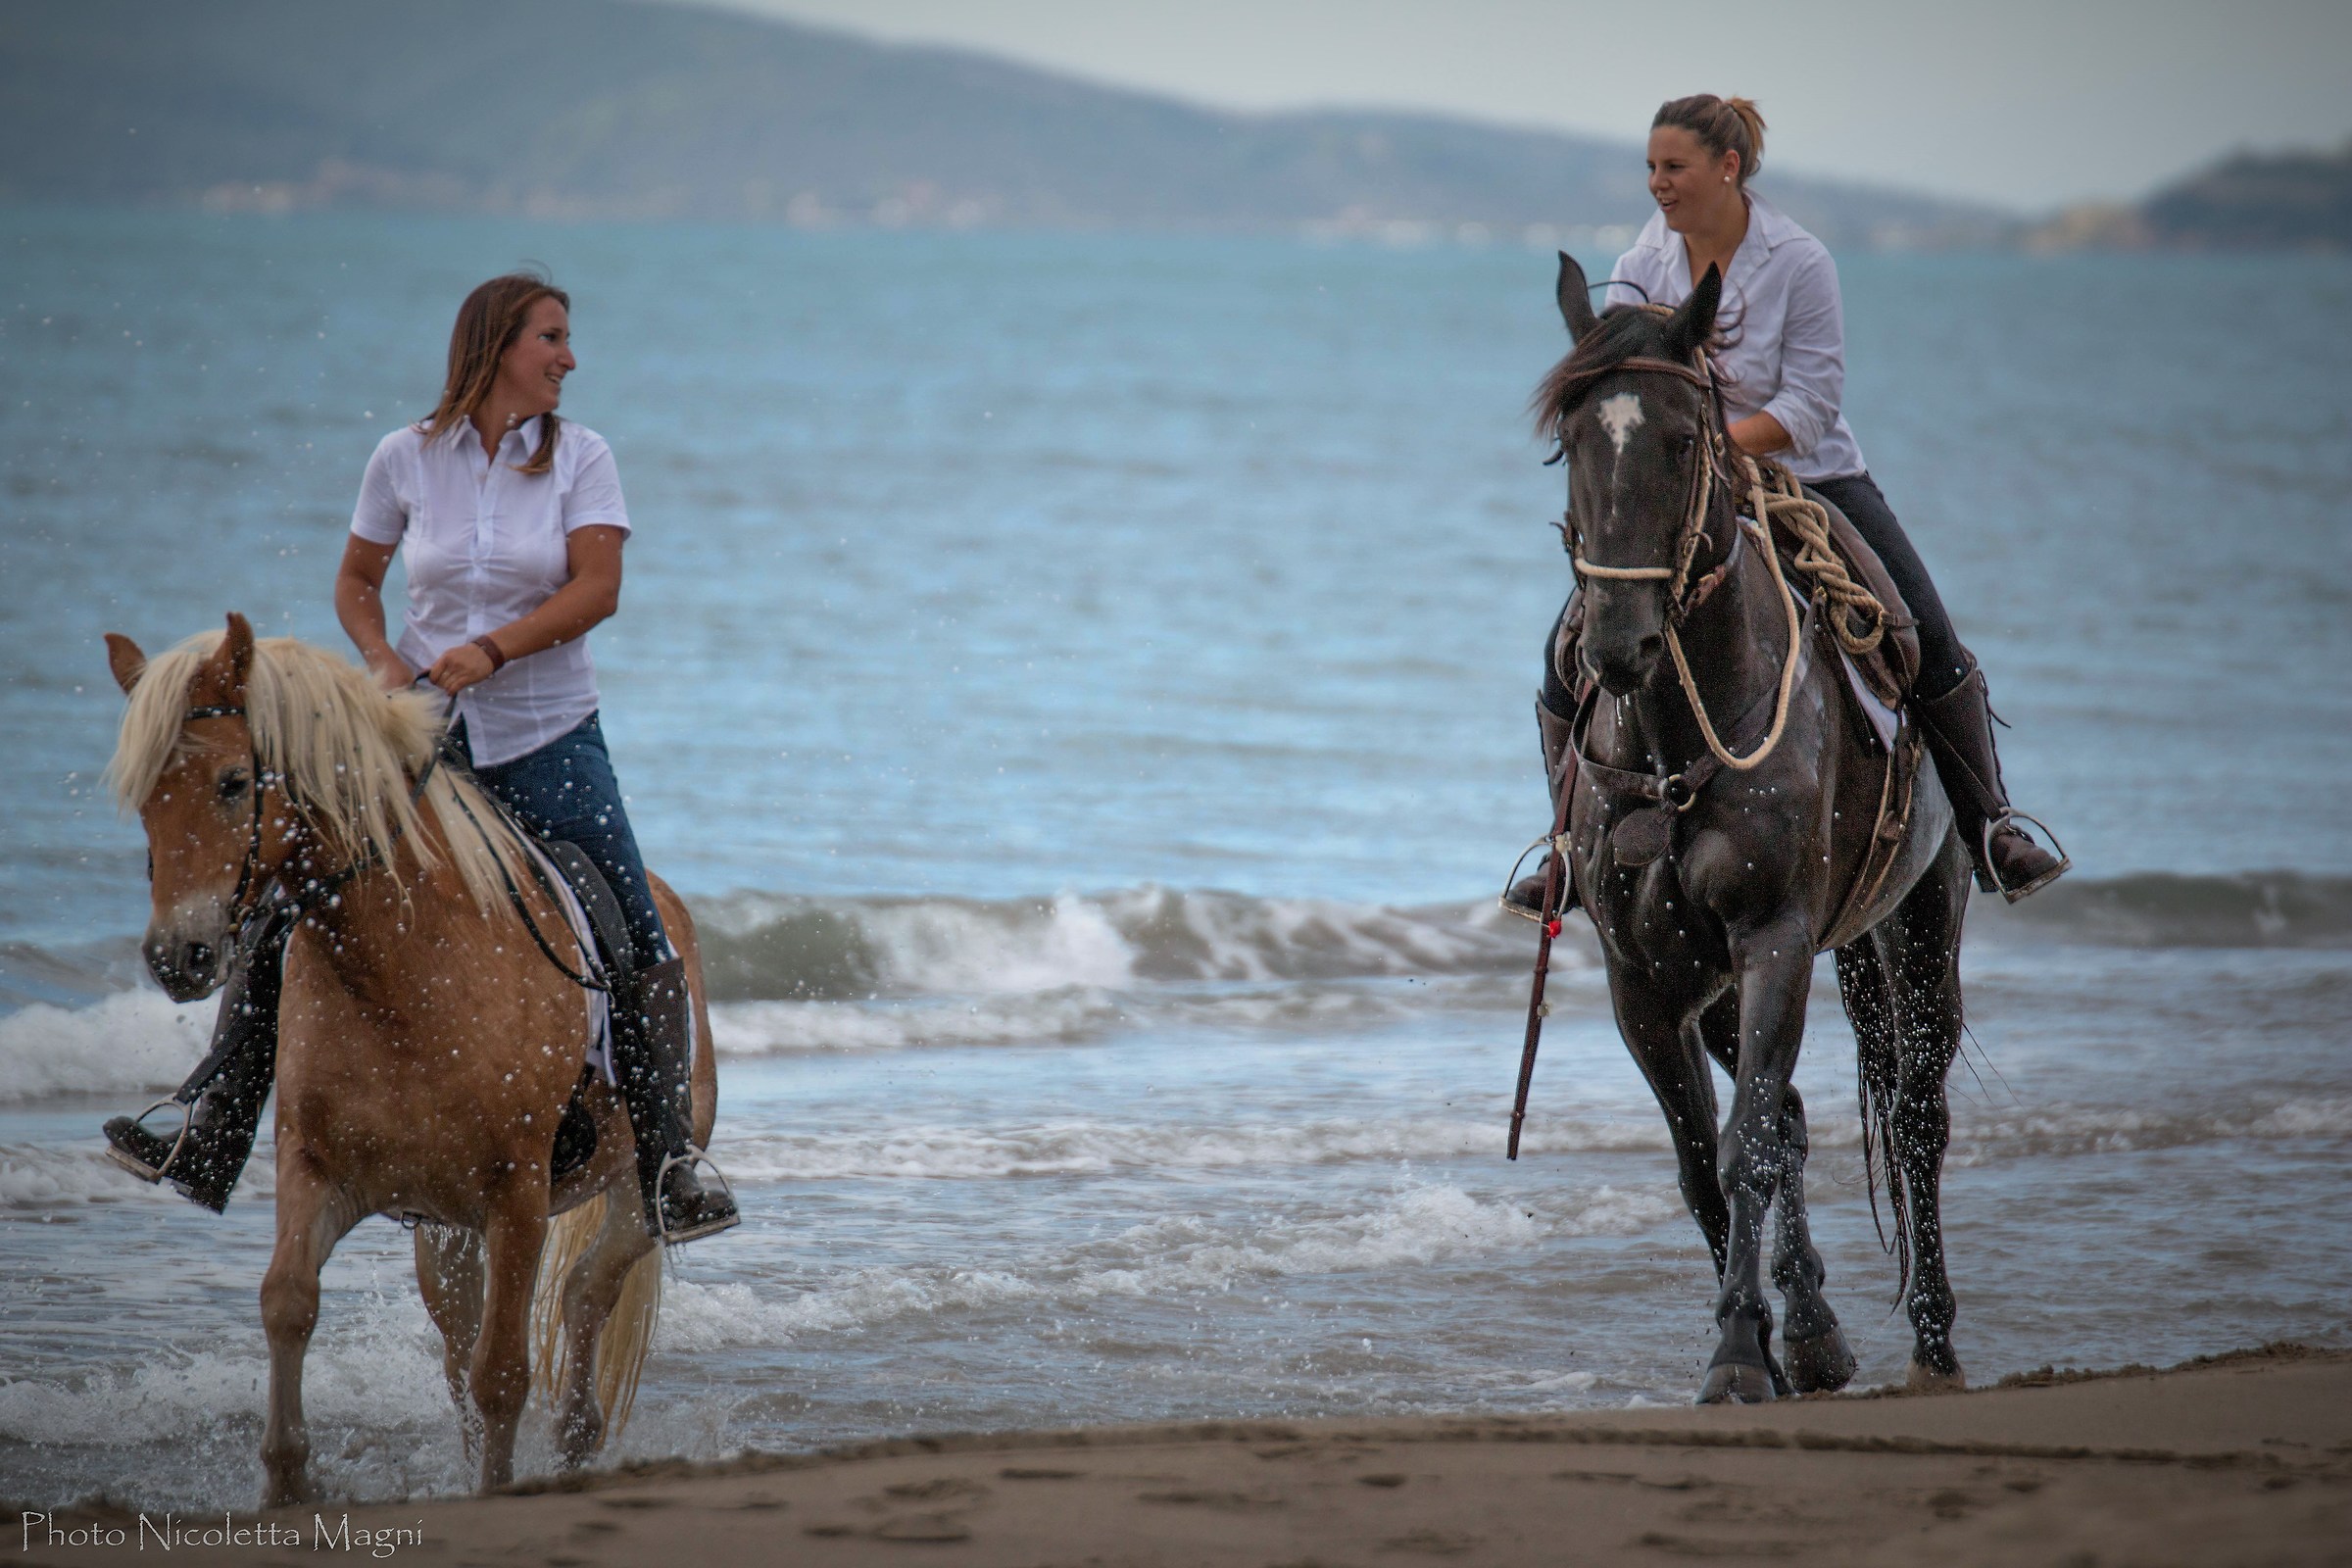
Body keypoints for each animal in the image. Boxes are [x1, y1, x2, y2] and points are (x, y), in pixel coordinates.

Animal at [103, 614, 716, 1501]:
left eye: (231, 782)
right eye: (145, 794)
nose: (174, 957)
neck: (407, 969)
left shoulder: (518, 1196)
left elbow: (504, 1372)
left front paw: (494, 1492)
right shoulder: (317, 1169)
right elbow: (289, 1302)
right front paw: (287, 1484)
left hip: (634, 1196)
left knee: (585, 1293)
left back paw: (574, 1442)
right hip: (446, 1234)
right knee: (469, 1343)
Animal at [1528, 257, 1974, 1402]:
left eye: (1684, 440)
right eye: (1571, 442)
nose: (1619, 645)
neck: (1675, 739)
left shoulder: (1774, 938)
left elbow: (1748, 1150)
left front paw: (1735, 1354)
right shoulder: (1644, 978)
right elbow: (1704, 1157)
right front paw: (1771, 1343)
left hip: (1919, 921)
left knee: (1915, 1116)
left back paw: (1932, 1338)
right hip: (1723, 978)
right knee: (1801, 1117)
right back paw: (1814, 1328)